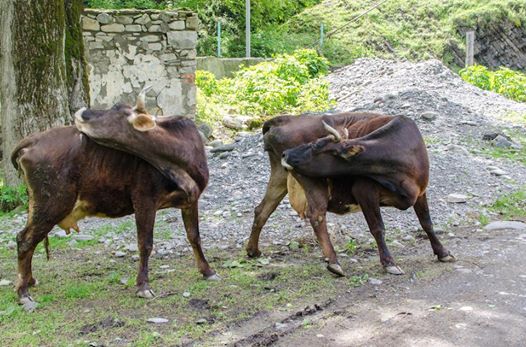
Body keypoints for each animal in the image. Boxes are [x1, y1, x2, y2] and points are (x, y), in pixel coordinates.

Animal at [12, 91, 219, 312]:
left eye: (114, 110)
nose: (82, 112)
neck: (179, 159)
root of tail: (33, 139)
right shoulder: (144, 200)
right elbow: (145, 243)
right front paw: (143, 286)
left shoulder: (191, 200)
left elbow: (194, 236)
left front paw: (208, 271)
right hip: (52, 204)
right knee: (25, 240)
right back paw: (23, 293)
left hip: (40, 205)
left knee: (29, 239)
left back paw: (29, 281)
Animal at [250, 113, 456, 278]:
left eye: (316, 145)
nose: (286, 154)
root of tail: (284, 119)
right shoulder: (364, 191)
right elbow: (378, 228)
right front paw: (389, 263)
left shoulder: (420, 191)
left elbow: (426, 222)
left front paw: (443, 252)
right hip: (313, 182)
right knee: (316, 216)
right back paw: (334, 262)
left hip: (281, 176)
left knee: (262, 210)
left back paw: (252, 251)